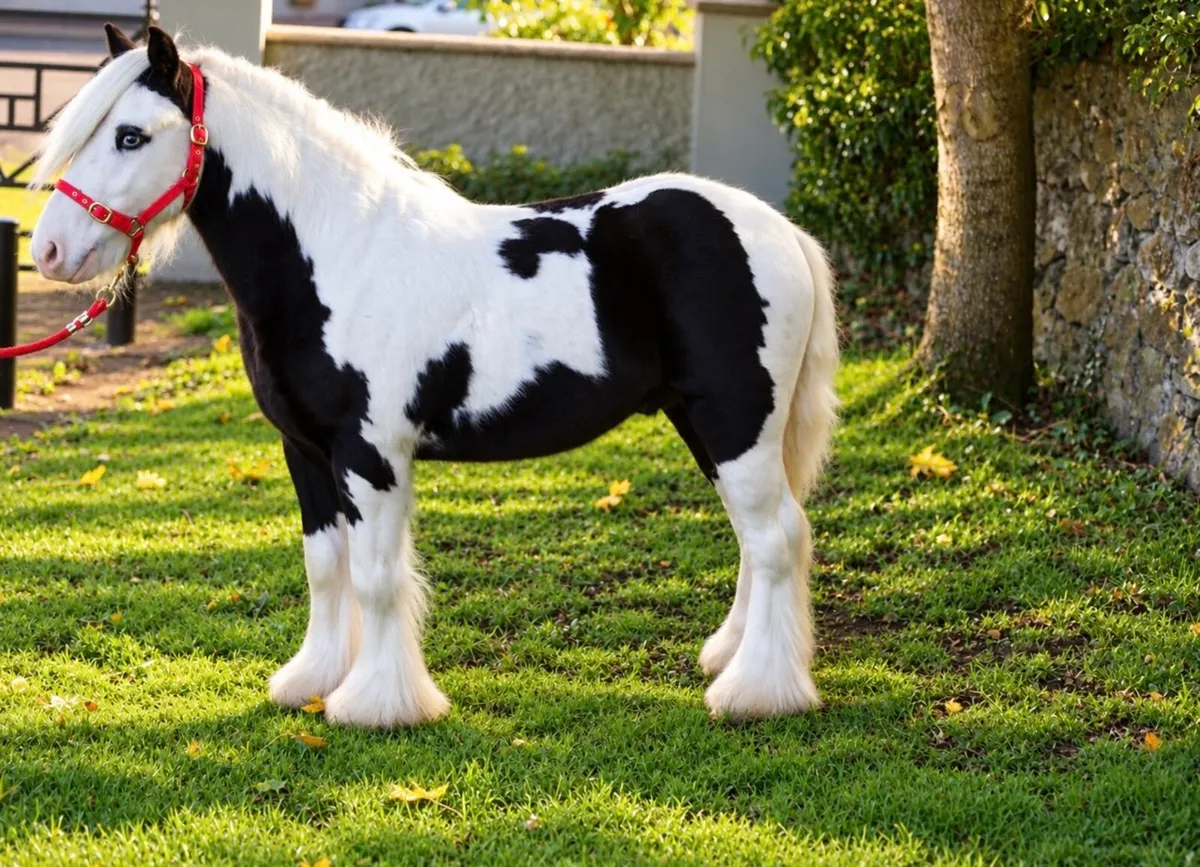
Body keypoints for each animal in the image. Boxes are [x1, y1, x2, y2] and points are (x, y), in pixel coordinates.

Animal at [29, 25, 839, 729]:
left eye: (131, 135)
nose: (49, 250)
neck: (335, 255)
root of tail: (780, 231)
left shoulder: (372, 454)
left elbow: (376, 576)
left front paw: (377, 704)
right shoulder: (307, 451)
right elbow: (326, 566)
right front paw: (313, 680)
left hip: (735, 422)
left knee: (775, 537)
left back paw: (758, 693)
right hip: (704, 422)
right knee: (759, 536)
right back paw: (732, 659)